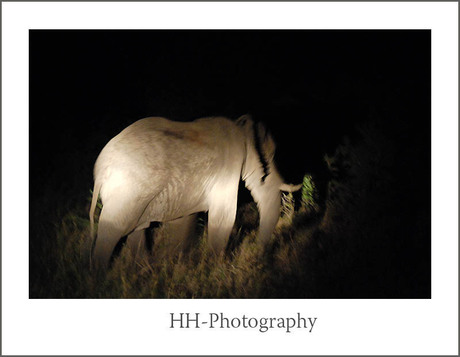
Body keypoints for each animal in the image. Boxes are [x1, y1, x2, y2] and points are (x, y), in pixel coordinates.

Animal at [89, 115, 302, 268]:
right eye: (267, 165)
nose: (256, 252)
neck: (240, 127)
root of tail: (100, 170)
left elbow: (183, 220)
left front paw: (177, 263)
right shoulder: (228, 167)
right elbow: (223, 218)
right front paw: (215, 268)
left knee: (136, 230)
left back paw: (144, 270)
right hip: (127, 191)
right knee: (112, 231)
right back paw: (99, 278)